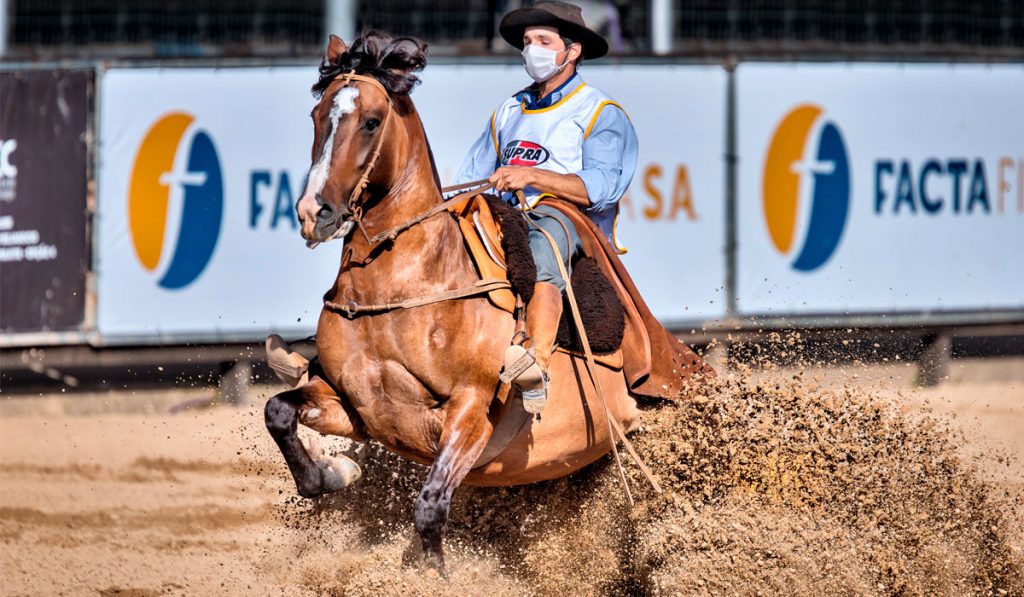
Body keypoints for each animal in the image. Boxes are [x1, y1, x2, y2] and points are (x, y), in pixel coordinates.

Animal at [266, 31, 704, 569]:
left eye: (370, 121)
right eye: (317, 115)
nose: (314, 212)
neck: (405, 289)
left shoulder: (470, 412)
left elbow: (430, 509)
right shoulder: (354, 404)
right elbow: (278, 413)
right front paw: (337, 471)